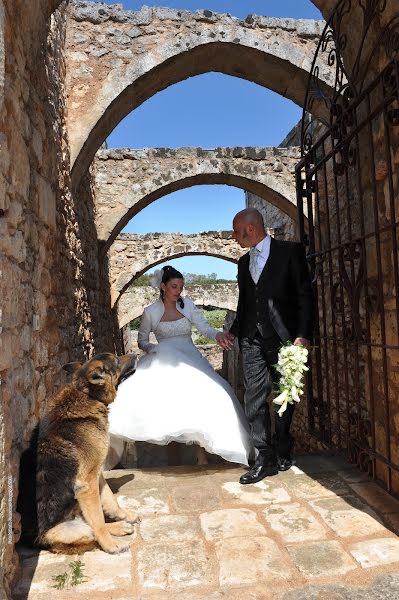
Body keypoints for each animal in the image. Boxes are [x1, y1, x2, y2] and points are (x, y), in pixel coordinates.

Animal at [18, 352, 138, 552]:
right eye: (116, 360)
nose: (136, 354)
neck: (86, 394)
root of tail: (32, 541)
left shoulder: (96, 474)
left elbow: (109, 498)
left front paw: (123, 515)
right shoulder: (87, 482)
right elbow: (98, 518)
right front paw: (109, 545)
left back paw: (118, 526)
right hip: (73, 527)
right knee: (91, 529)